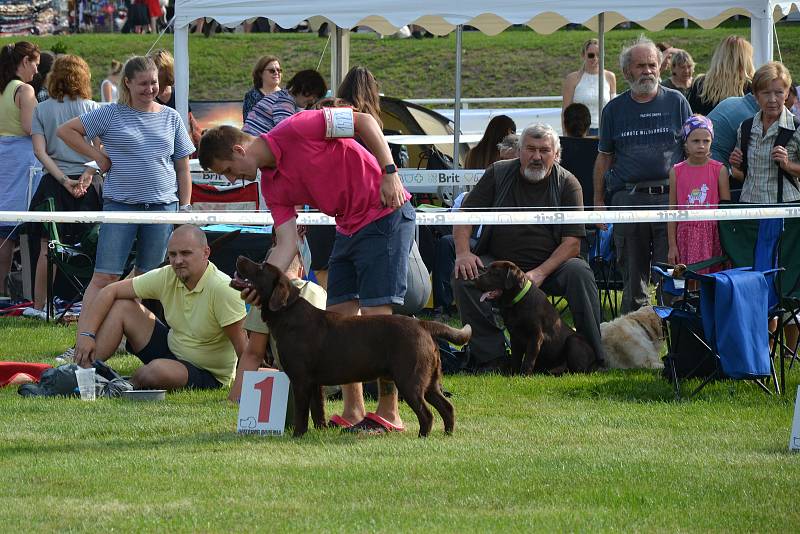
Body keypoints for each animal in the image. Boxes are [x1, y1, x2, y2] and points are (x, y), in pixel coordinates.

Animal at [228, 258, 472, 438]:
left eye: (261, 267)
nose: (239, 257)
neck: (287, 313)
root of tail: (422, 324)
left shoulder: (301, 379)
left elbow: (302, 412)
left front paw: (297, 435)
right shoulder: (314, 382)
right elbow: (318, 409)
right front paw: (321, 431)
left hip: (409, 380)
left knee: (427, 413)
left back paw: (423, 436)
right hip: (430, 380)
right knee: (447, 407)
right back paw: (448, 434)